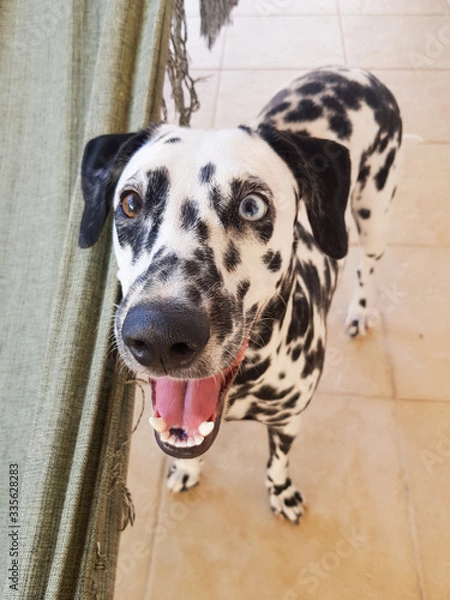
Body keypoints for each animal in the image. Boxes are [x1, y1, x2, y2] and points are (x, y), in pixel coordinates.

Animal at [79, 68, 402, 524]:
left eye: (252, 206)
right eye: (130, 203)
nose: (159, 335)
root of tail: (355, 73)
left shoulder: (288, 419)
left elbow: (277, 463)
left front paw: (281, 493)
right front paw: (187, 469)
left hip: (374, 212)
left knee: (367, 267)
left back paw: (359, 311)